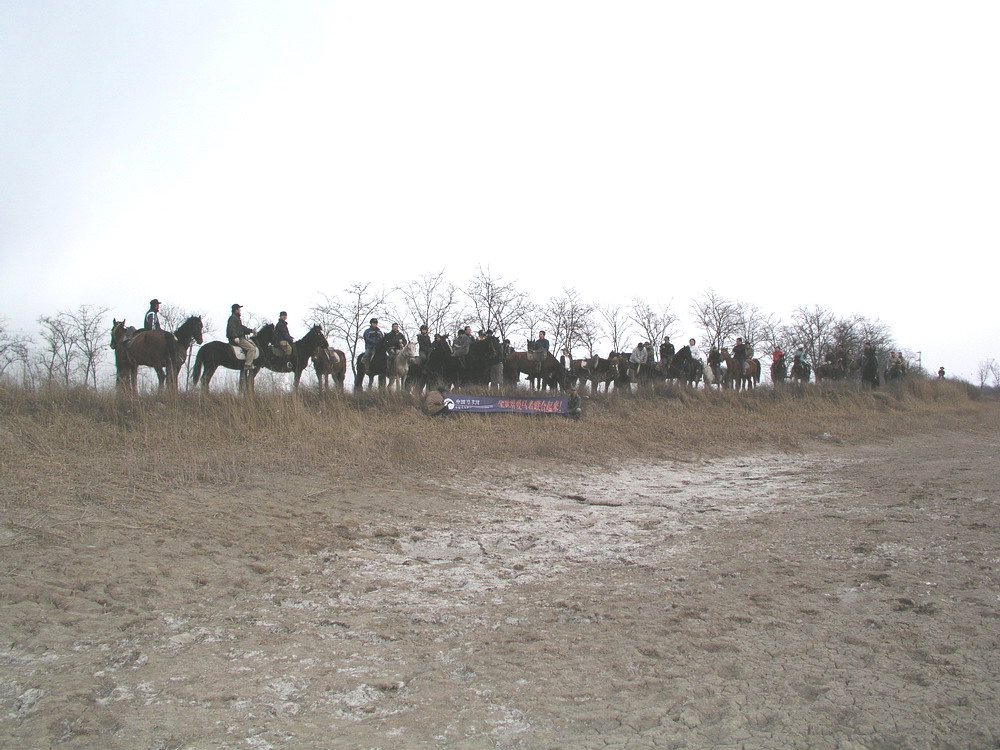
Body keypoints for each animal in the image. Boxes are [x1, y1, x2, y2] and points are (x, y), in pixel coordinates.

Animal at [190, 324, 324, 394]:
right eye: (318, 334)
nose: (326, 344)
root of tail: (204, 347)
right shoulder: (297, 370)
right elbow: (295, 384)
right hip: (212, 365)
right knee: (205, 379)